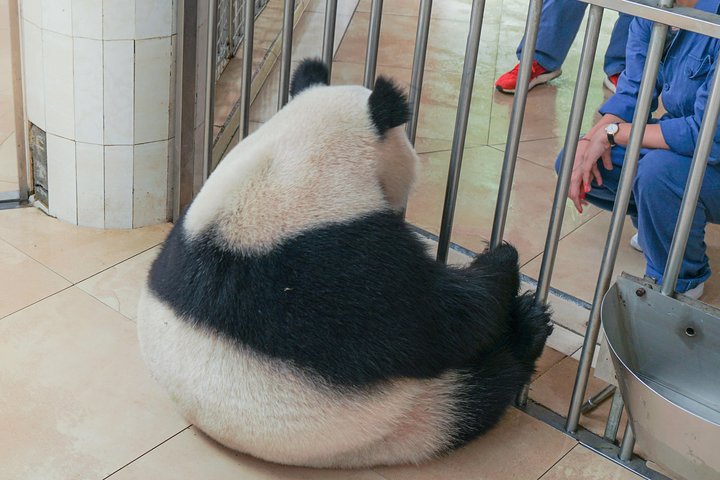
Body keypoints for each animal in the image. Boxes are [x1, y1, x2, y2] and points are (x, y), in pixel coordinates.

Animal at [137, 58, 553, 469]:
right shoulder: (337, 265)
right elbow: (439, 323)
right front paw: (503, 260)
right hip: (409, 417)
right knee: (480, 392)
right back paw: (529, 328)